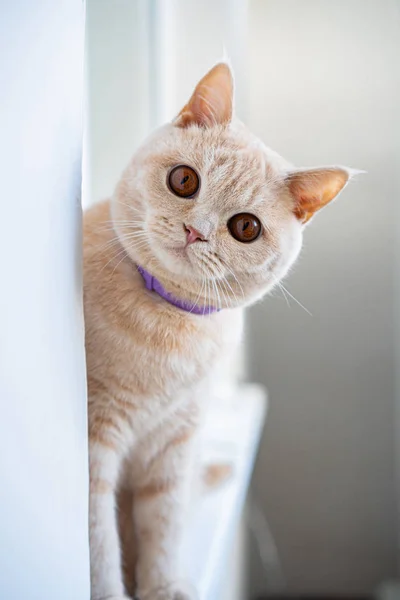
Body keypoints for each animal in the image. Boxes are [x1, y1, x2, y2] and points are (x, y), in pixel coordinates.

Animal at [83, 62, 354, 600]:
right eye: (184, 180)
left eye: (245, 227)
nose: (196, 231)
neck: (170, 325)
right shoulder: (94, 440)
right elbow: (98, 542)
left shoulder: (175, 443)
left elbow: (164, 526)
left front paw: (163, 586)